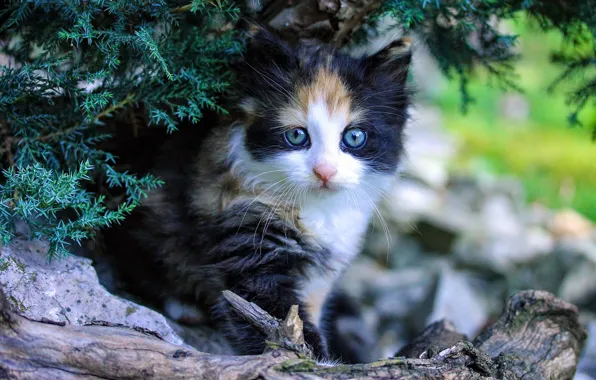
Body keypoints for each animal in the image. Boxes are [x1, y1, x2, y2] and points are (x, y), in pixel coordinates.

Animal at [101, 24, 410, 360]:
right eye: (297, 136)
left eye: (354, 137)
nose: (324, 171)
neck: (316, 209)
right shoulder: (246, 242)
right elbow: (273, 312)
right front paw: (313, 359)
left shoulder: (320, 275)